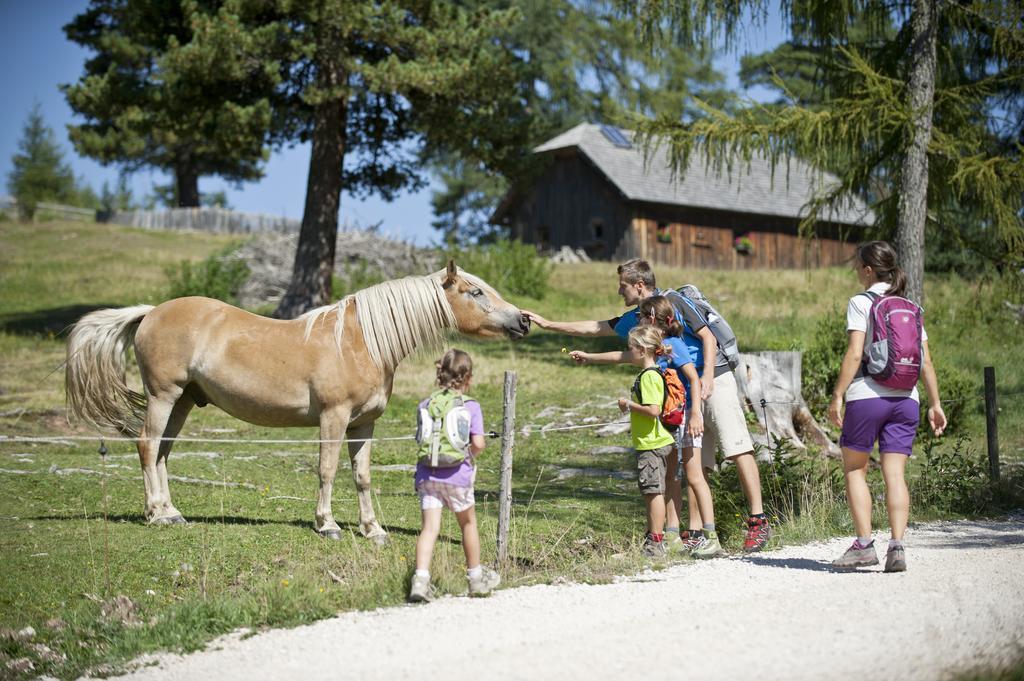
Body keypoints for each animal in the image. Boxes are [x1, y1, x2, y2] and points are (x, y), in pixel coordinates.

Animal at [65, 261, 532, 540]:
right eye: (475, 292)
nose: (523, 320)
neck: (362, 341)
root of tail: (150, 312)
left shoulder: (364, 424)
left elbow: (362, 476)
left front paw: (372, 529)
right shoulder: (333, 418)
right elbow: (326, 471)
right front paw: (327, 525)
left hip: (181, 402)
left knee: (161, 452)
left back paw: (171, 511)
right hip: (163, 396)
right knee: (147, 446)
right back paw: (157, 513)